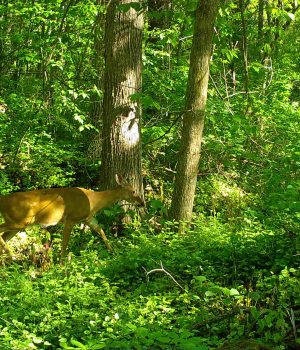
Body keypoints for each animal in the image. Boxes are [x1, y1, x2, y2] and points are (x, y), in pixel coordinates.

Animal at [0, 174, 145, 260]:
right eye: (133, 191)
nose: (142, 203)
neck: (93, 201)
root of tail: (3, 200)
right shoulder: (71, 218)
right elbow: (65, 243)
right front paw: (61, 265)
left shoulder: (87, 218)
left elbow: (100, 230)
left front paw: (113, 252)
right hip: (20, 220)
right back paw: (12, 256)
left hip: (18, 224)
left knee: (4, 236)